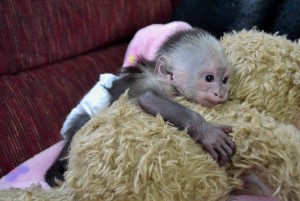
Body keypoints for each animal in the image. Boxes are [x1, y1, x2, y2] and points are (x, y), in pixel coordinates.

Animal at [45, 27, 236, 187]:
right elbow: (148, 98)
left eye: (225, 80)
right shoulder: (157, 84)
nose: (220, 93)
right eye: (209, 78)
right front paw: (207, 132)